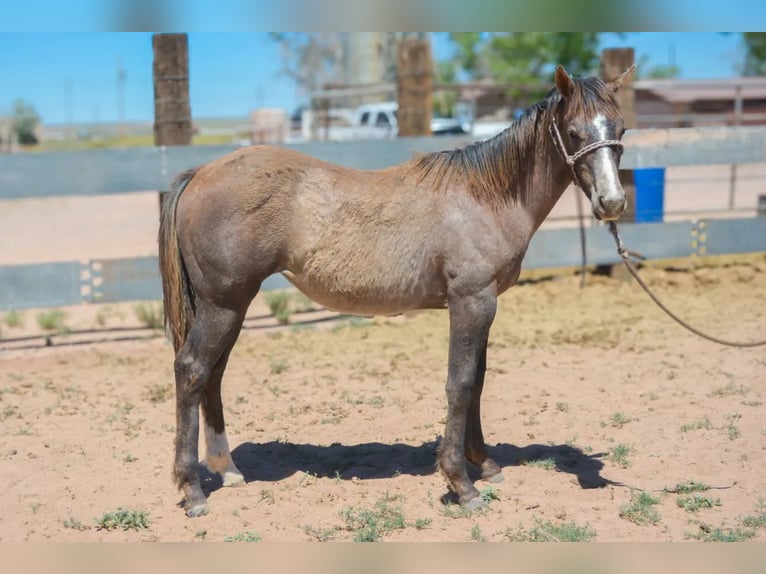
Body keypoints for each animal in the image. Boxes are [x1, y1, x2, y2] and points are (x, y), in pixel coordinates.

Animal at [158, 65, 636, 520]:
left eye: (621, 129)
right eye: (573, 132)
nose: (612, 203)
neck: (484, 198)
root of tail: (199, 174)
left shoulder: (484, 304)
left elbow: (478, 381)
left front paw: (485, 463)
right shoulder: (471, 302)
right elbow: (461, 383)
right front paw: (461, 483)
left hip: (230, 308)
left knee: (213, 375)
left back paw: (228, 470)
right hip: (223, 306)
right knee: (192, 371)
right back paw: (193, 490)